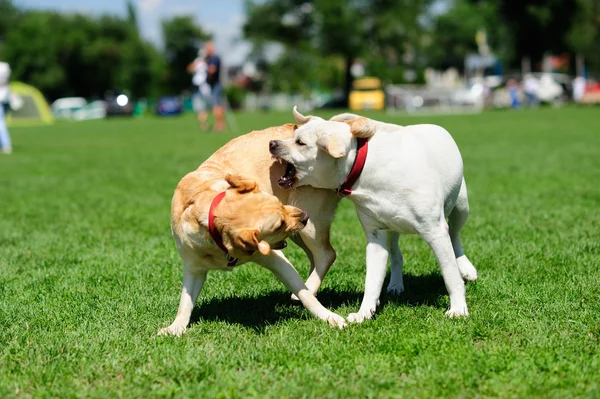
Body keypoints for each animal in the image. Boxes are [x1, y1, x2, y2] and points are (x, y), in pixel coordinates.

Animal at [268, 108, 478, 324]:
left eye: (300, 142)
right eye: (294, 135)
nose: (272, 143)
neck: (363, 167)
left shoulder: (434, 230)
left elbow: (450, 273)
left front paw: (458, 309)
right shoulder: (376, 235)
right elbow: (372, 281)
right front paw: (364, 312)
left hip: (461, 207)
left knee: (454, 235)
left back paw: (466, 268)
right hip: (393, 227)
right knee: (397, 254)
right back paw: (396, 285)